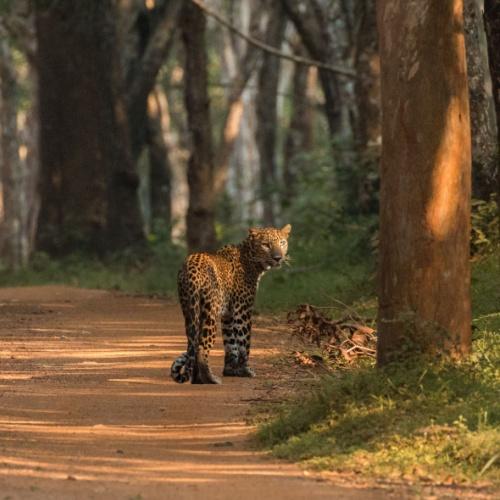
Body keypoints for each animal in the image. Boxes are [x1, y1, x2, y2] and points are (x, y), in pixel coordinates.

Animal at [170, 225, 292, 384]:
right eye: (266, 245)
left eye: (282, 243)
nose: (278, 257)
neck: (252, 261)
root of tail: (191, 265)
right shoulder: (242, 310)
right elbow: (244, 342)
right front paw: (246, 370)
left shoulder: (227, 315)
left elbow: (231, 343)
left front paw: (231, 370)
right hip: (210, 312)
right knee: (202, 346)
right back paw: (210, 379)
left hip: (189, 310)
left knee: (194, 343)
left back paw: (198, 379)